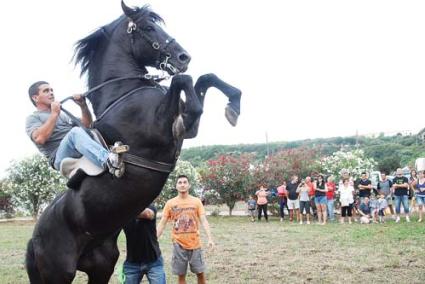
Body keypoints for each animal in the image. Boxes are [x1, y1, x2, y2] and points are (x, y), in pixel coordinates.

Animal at [24, 1, 240, 282]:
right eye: (148, 27)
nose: (183, 57)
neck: (124, 93)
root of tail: (34, 239)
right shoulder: (161, 129)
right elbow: (184, 81)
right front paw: (231, 106)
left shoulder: (186, 128)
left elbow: (204, 79)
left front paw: (234, 105)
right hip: (58, 274)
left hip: (101, 267)